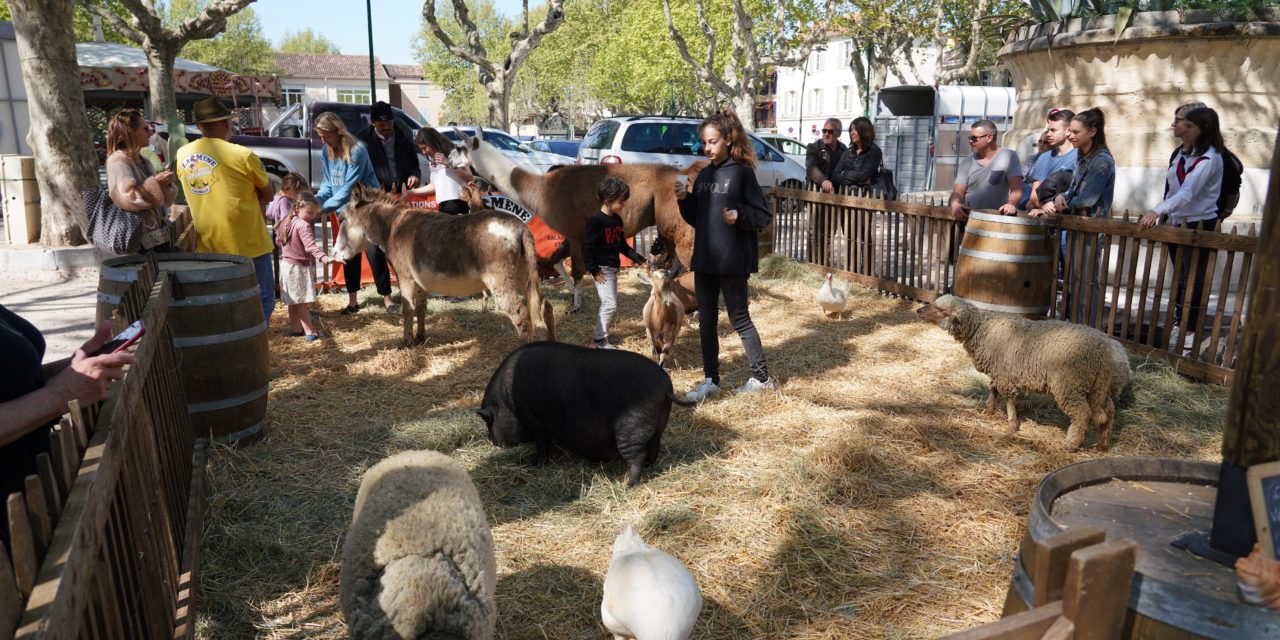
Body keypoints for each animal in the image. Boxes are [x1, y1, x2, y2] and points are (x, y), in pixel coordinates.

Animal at [478, 345, 696, 483]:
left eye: (489, 421)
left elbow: (543, 444)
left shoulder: (534, 419)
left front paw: (536, 465)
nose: (493, 441)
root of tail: (665, 386)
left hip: (631, 428)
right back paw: (649, 468)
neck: (507, 400)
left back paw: (629, 485)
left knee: (638, 456)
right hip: (658, 426)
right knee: (655, 447)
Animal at [921, 295, 1131, 450]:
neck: (981, 329)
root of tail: (1103, 351)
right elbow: (994, 389)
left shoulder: (1004, 373)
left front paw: (1011, 426)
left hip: (1069, 384)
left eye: (942, 311)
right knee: (1109, 410)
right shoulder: (999, 370)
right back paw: (1103, 442)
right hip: (1096, 387)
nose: (918, 311)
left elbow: (1008, 398)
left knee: (1081, 414)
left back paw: (1070, 444)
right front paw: (989, 410)